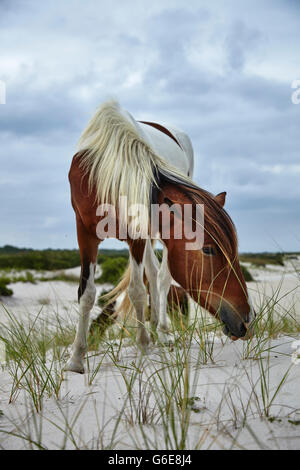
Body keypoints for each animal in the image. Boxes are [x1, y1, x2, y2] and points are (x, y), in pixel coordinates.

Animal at [64, 100, 254, 374]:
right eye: (208, 249)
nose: (247, 320)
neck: (106, 175)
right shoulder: (85, 233)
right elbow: (87, 293)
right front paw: (76, 357)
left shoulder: (138, 235)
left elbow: (137, 290)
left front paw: (144, 348)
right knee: (153, 274)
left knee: (161, 279)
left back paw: (161, 332)